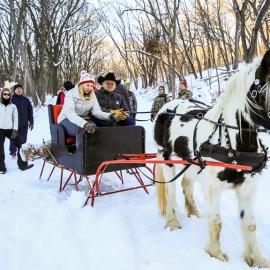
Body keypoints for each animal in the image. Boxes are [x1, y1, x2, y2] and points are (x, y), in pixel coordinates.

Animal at [153, 49, 270, 266]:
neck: (234, 144)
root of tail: (166, 107)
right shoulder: (213, 187)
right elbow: (216, 222)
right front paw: (215, 253)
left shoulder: (248, 188)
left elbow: (250, 224)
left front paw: (257, 259)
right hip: (167, 161)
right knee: (171, 192)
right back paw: (173, 223)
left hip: (190, 164)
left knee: (186, 184)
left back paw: (193, 212)